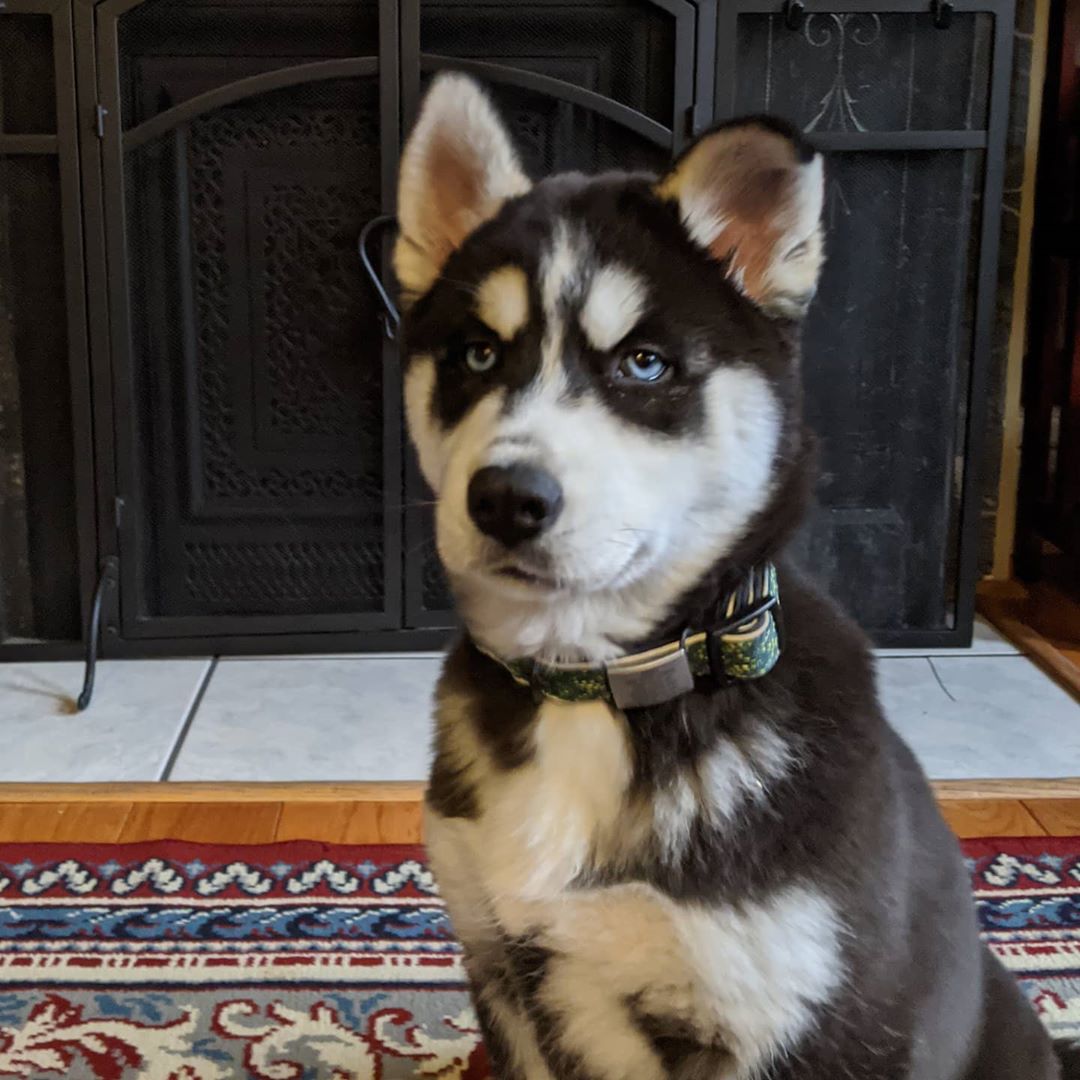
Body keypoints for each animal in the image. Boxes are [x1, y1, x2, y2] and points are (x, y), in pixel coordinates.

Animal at [390, 71, 1071, 1075]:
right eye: (477, 354)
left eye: (644, 363)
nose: (506, 498)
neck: (592, 689)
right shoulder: (501, 967)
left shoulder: (797, 1014)